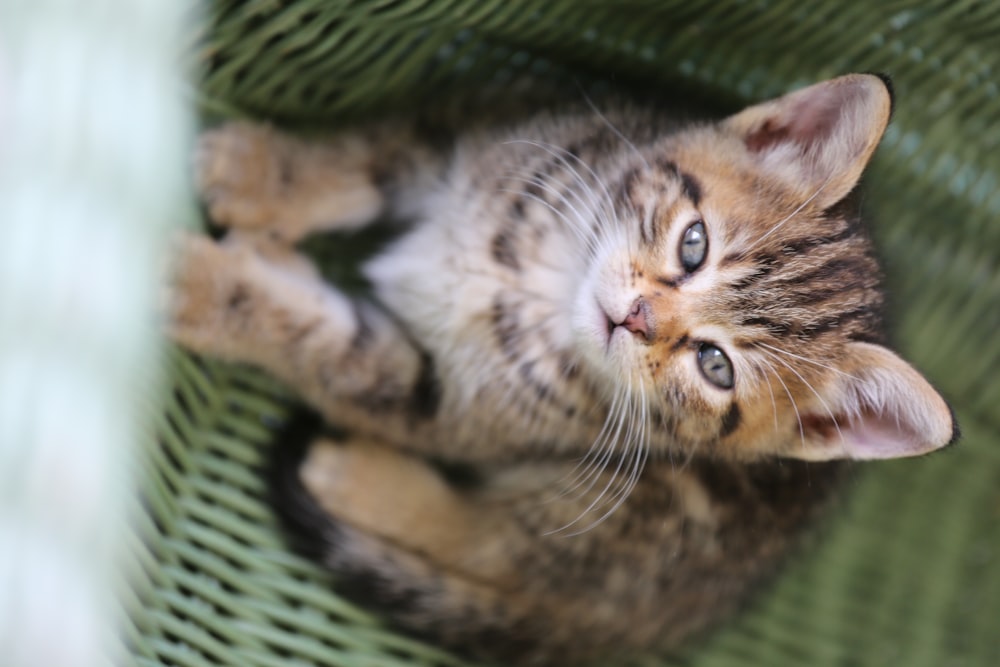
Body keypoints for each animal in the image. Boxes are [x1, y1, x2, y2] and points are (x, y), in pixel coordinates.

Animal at [170, 75, 952, 664]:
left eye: (715, 365)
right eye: (694, 243)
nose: (636, 317)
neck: (544, 285)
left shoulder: (446, 405)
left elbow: (332, 355)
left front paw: (202, 287)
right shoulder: (480, 127)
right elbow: (376, 155)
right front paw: (268, 177)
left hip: (630, 520)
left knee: (495, 545)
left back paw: (352, 474)